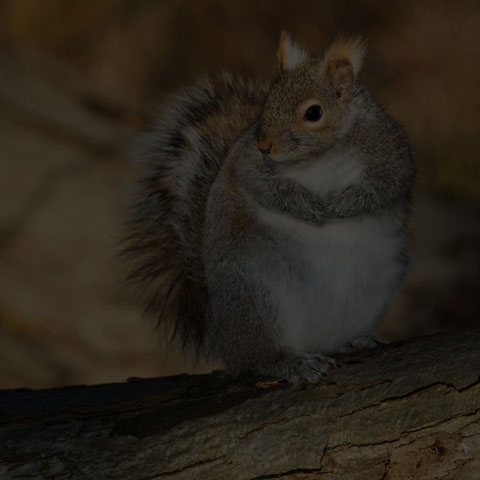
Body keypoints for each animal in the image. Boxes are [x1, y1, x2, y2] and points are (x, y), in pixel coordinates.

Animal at [121, 31, 416, 382]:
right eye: (267, 103)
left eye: (313, 113)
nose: (264, 144)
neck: (322, 157)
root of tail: (220, 334)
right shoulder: (248, 163)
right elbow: (266, 189)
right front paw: (312, 210)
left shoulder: (389, 150)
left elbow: (386, 184)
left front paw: (340, 206)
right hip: (256, 300)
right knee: (257, 358)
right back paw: (290, 363)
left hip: (376, 287)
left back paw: (357, 340)